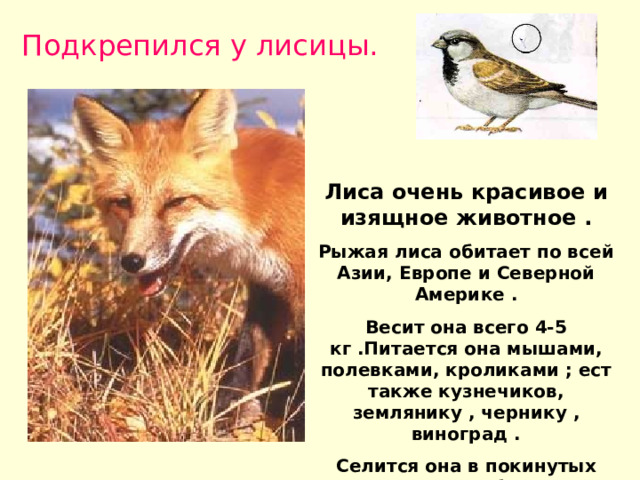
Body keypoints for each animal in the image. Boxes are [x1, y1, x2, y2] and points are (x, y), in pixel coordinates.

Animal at [72, 89, 305, 423]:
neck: (260, 205)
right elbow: (245, 361)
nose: (131, 261)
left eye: (176, 202)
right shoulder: (269, 287)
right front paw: (222, 418)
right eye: (123, 203)